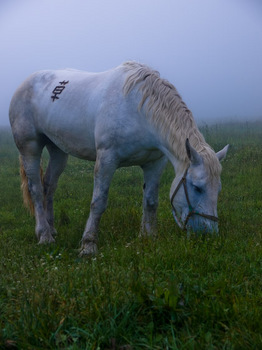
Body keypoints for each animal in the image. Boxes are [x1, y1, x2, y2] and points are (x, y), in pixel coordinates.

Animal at [9, 62, 228, 254]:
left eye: (218, 189)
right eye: (197, 187)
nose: (208, 235)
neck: (138, 110)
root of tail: (25, 83)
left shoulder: (154, 163)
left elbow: (150, 201)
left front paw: (148, 237)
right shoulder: (107, 159)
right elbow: (98, 202)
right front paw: (88, 245)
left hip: (58, 151)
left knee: (49, 186)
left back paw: (51, 228)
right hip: (29, 147)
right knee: (36, 189)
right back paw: (44, 235)